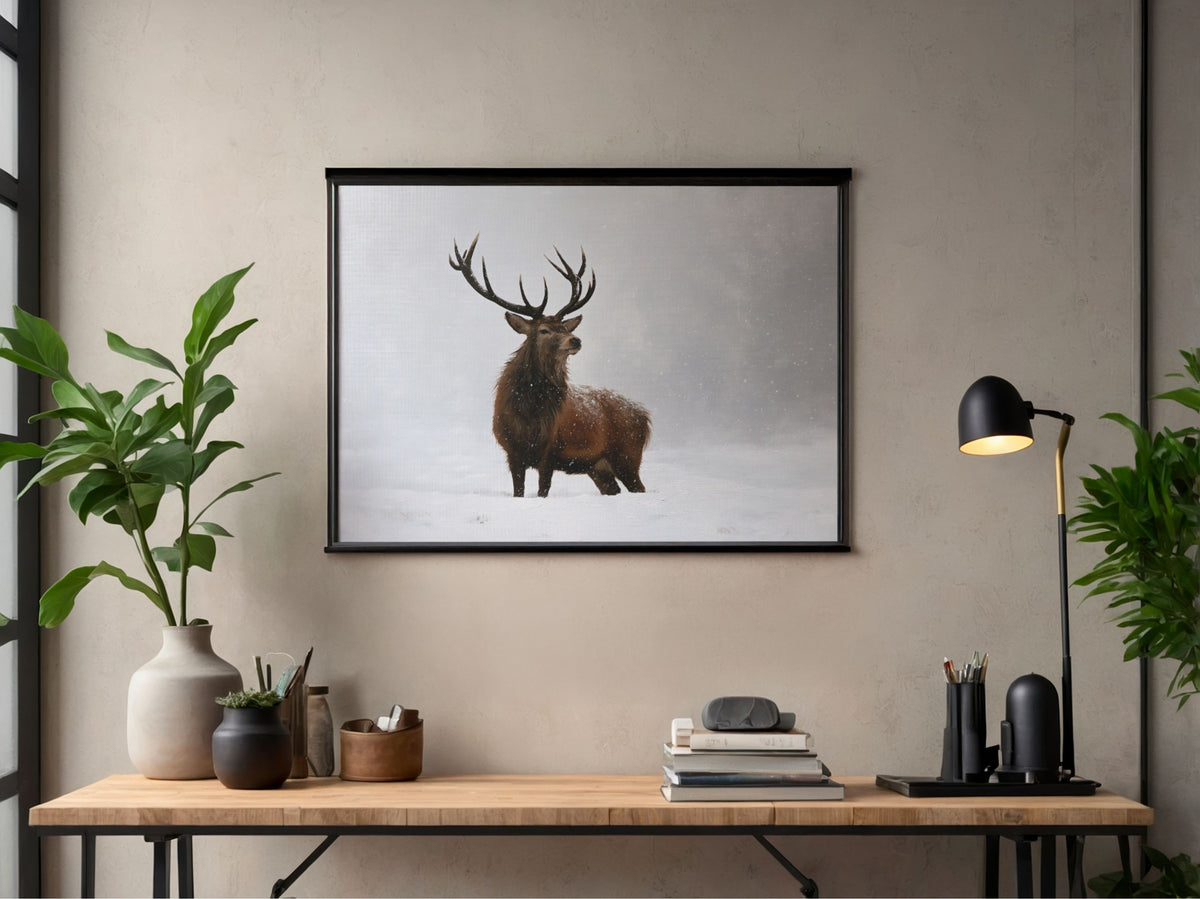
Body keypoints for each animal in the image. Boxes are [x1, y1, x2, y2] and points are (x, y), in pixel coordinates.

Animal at [449, 235, 651, 498]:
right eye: (544, 330)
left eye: (565, 327)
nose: (575, 340)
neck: (528, 416)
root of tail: (645, 416)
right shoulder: (512, 452)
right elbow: (518, 492)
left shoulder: (550, 451)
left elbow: (542, 491)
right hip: (598, 466)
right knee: (613, 489)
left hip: (627, 455)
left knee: (640, 487)